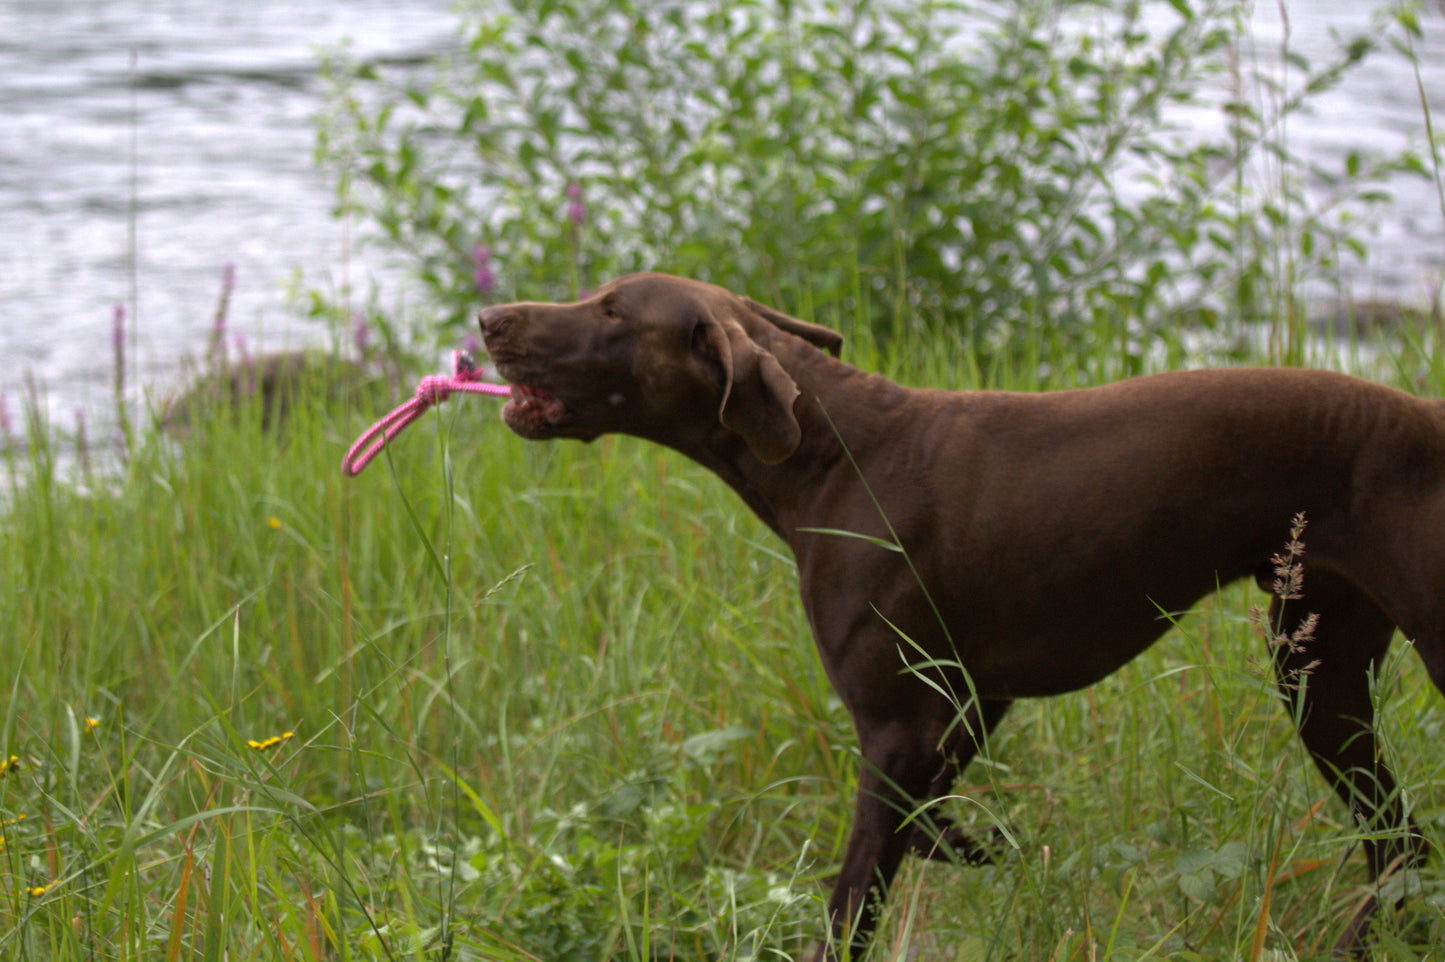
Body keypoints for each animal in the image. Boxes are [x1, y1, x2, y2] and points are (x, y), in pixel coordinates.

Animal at [479, 271, 1439, 959]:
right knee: (1401, 848)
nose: (488, 317)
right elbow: (932, 815)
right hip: (1318, 676)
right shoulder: (966, 702)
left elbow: (852, 904)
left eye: (611, 311)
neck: (834, 458)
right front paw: (980, 846)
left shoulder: (892, 726)